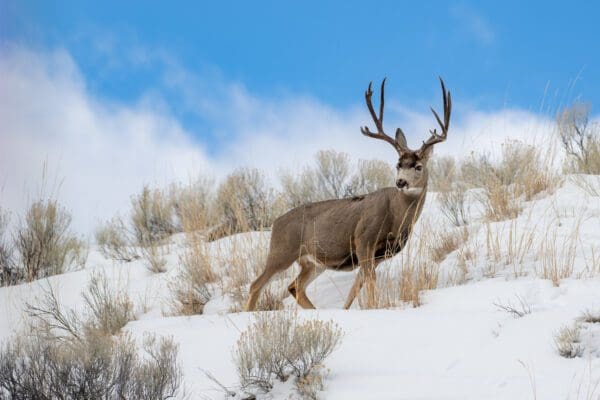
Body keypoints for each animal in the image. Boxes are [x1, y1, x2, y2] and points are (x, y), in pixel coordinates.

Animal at [245, 76, 450, 310]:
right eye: (398, 164)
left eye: (418, 166)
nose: (401, 182)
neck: (397, 217)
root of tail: (275, 223)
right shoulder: (364, 240)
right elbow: (369, 282)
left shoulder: (378, 255)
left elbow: (355, 288)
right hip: (282, 252)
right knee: (256, 284)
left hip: (313, 262)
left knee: (294, 286)